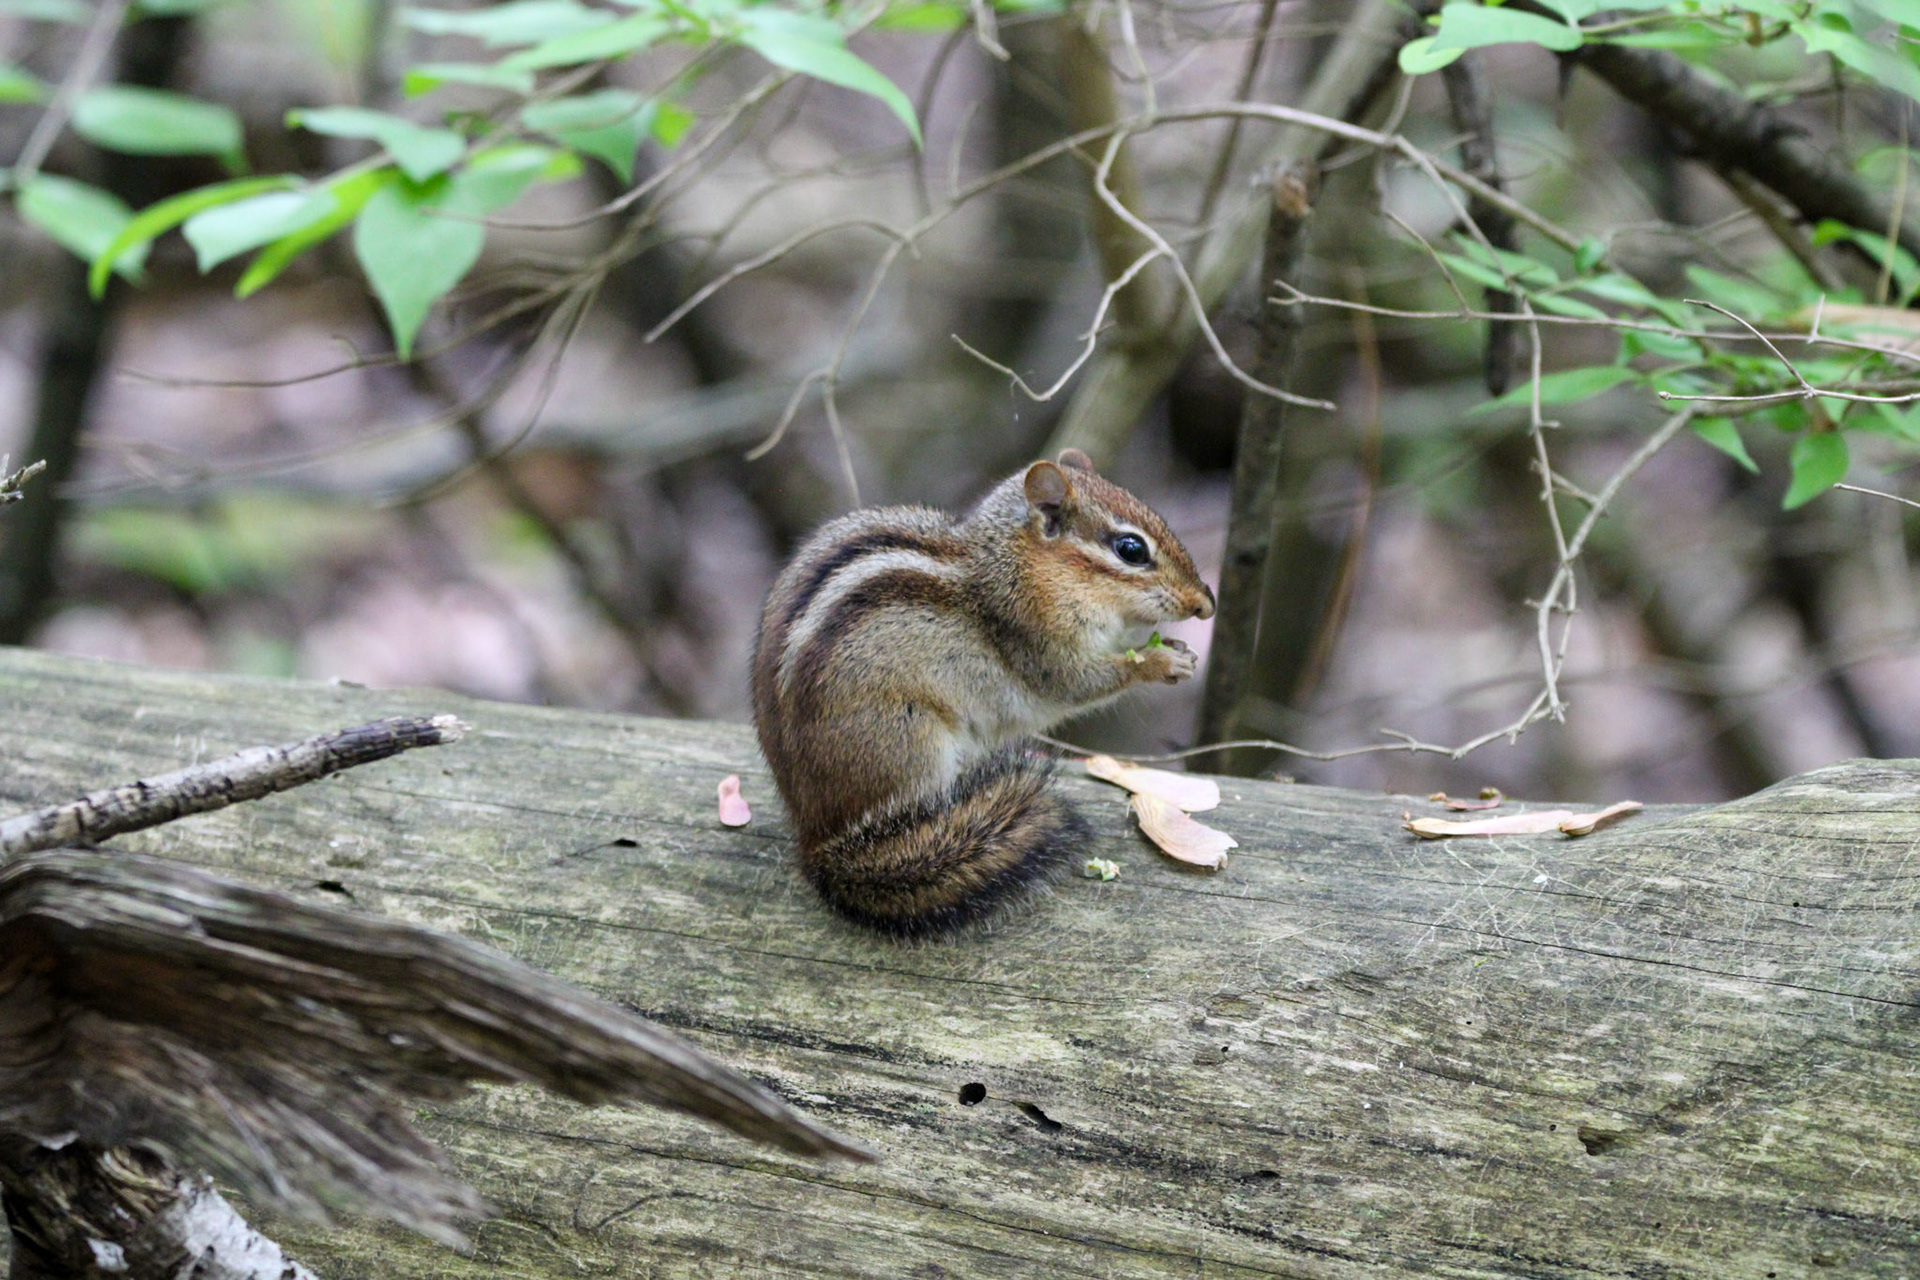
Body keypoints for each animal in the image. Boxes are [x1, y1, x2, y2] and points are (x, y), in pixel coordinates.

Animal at [750, 448, 1216, 937]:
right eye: (1131, 549)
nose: (1206, 603)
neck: (1019, 569)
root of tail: (815, 838)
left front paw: (1178, 648)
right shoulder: (1041, 646)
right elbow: (1081, 682)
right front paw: (1162, 661)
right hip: (912, 739)